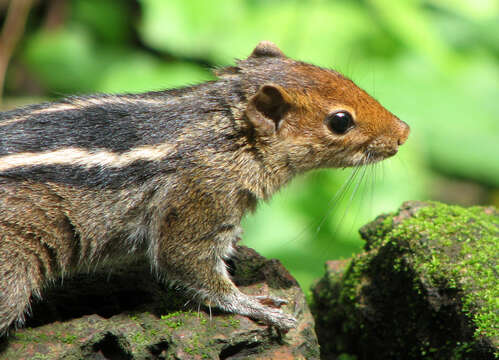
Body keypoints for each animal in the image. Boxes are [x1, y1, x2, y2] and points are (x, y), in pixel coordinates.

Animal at [0, 40, 410, 334]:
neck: (224, 135)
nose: (404, 132)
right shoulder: (200, 196)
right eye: (340, 121)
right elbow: (186, 263)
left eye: (341, 75)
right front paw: (256, 305)